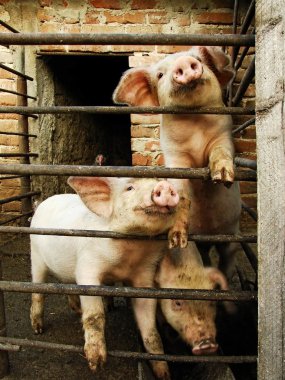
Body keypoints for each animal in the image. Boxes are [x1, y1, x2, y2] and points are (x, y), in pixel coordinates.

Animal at [29, 176, 180, 380]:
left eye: (160, 180)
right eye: (129, 188)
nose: (164, 185)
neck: (128, 255)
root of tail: (43, 203)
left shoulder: (144, 275)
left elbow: (151, 330)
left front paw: (164, 374)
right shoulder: (87, 267)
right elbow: (94, 314)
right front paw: (96, 364)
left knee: (68, 285)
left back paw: (77, 310)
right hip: (35, 256)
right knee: (38, 291)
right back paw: (38, 329)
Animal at [112, 46, 241, 280]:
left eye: (199, 59)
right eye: (160, 75)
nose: (183, 62)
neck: (195, 125)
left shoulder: (224, 135)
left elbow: (221, 151)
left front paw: (223, 178)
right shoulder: (175, 156)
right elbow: (181, 192)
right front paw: (177, 242)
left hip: (232, 235)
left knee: (227, 260)